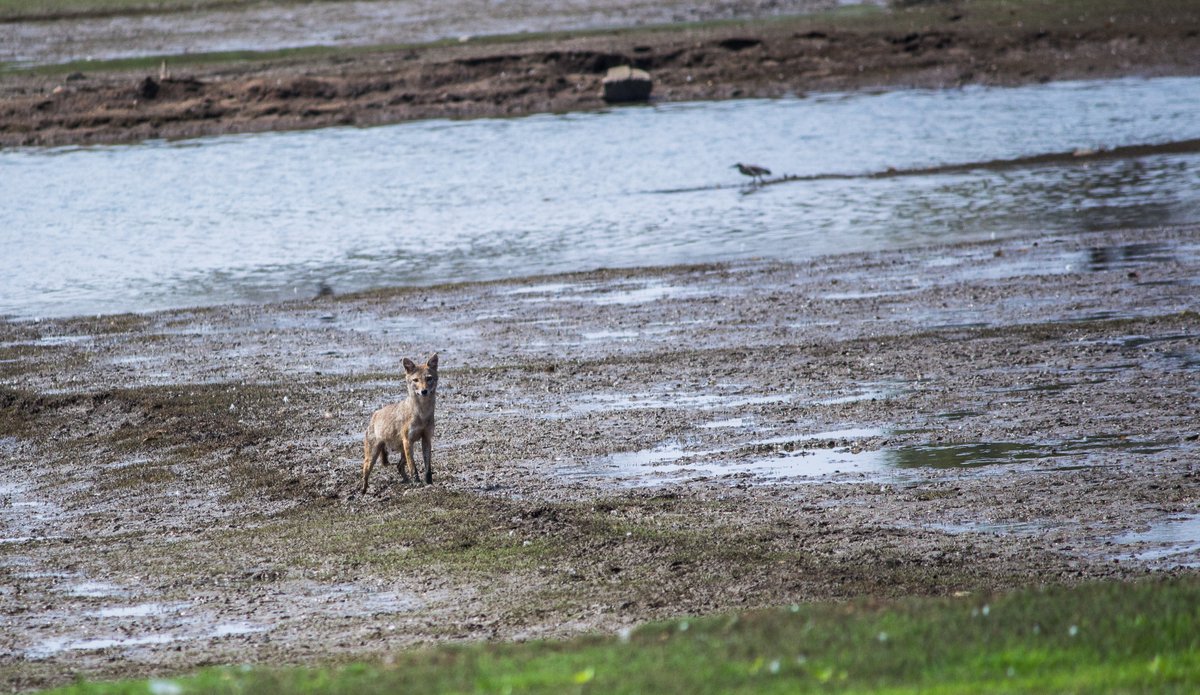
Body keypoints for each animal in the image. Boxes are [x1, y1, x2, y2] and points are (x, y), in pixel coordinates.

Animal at [361, 353, 439, 494]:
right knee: (365, 472)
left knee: (398, 466)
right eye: (416, 380)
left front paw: (429, 483)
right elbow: (413, 466)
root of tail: (375, 414)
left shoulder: (426, 439)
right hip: (372, 457)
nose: (424, 391)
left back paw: (406, 481)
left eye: (429, 378)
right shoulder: (408, 441)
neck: (422, 414)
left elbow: (427, 467)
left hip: (402, 450)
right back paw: (363, 491)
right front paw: (417, 482)